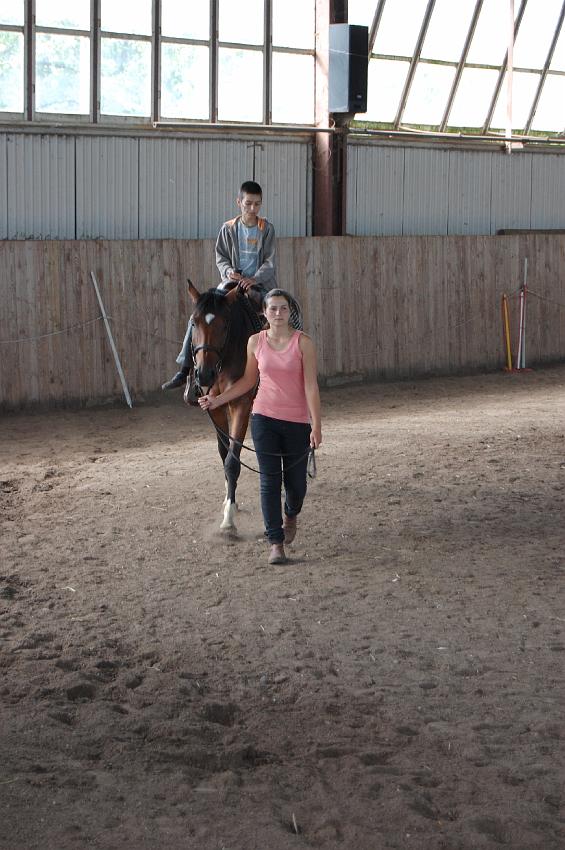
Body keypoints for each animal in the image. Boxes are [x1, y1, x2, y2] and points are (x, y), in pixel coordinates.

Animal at [186, 279, 261, 532]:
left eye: (224, 324)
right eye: (194, 322)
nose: (203, 374)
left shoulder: (241, 404)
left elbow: (232, 459)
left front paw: (229, 518)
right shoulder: (214, 407)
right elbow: (223, 452)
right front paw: (230, 500)